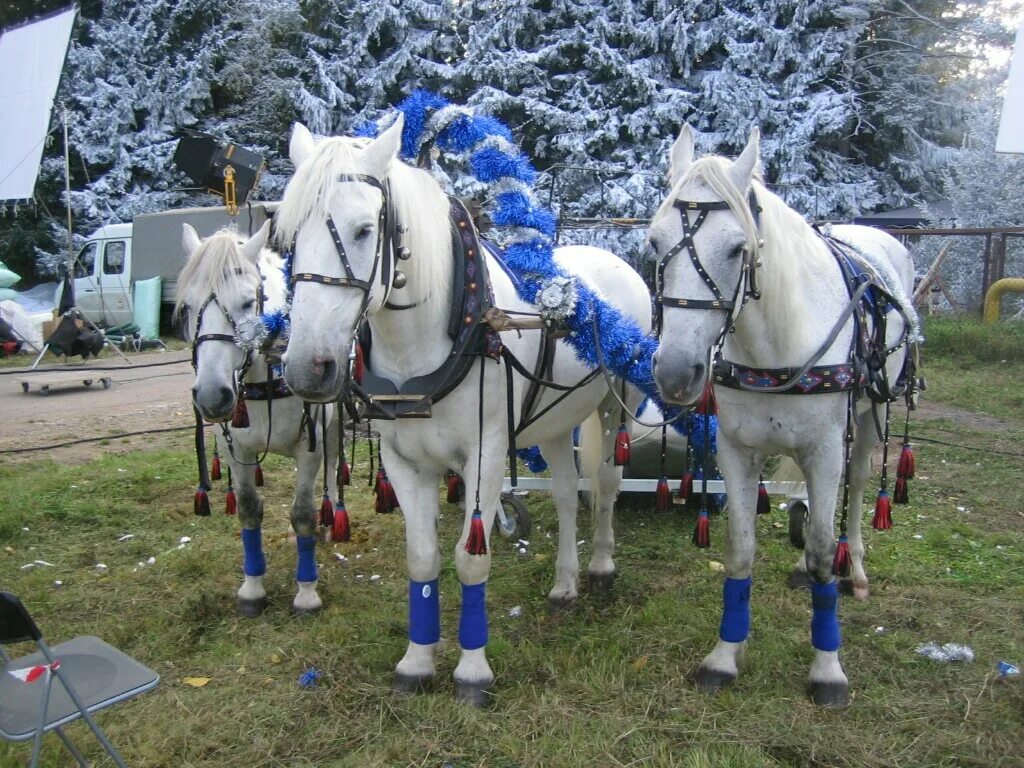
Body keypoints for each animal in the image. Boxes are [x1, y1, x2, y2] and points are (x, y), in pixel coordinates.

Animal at [180, 224, 344, 618]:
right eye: (188, 307)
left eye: (245, 303)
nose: (212, 396)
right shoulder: (234, 447)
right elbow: (249, 510)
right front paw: (252, 588)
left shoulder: (309, 444)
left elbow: (303, 514)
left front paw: (306, 592)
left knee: (333, 467)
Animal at [278, 117, 647, 708]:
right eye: (287, 236)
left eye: (363, 230)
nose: (308, 369)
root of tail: (612, 261)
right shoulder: (406, 461)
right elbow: (422, 557)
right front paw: (416, 662)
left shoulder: (486, 453)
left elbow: (472, 559)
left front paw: (473, 672)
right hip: (554, 418)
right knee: (568, 494)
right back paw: (564, 583)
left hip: (619, 404)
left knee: (607, 484)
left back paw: (600, 566)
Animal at [651, 126, 925, 708]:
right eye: (655, 243)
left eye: (738, 248)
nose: (676, 373)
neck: (775, 343)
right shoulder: (736, 452)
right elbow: (739, 552)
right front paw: (725, 656)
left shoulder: (824, 450)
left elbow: (823, 549)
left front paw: (827, 668)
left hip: (872, 416)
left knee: (856, 490)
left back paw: (855, 567)